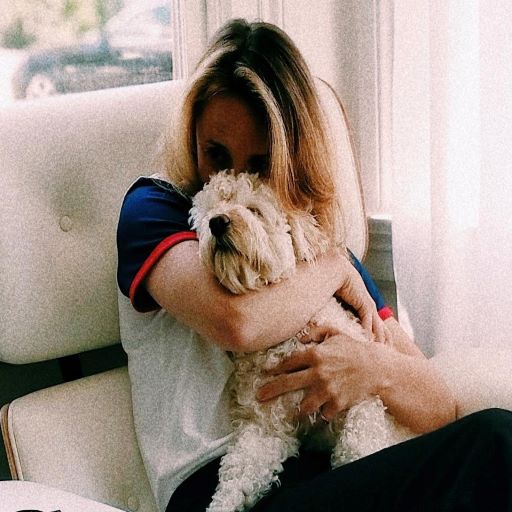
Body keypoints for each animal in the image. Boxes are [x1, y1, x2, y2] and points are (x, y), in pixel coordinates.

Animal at [189, 169, 415, 512]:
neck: (286, 337)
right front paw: (222, 504)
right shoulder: (265, 428)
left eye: (255, 210)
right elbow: (238, 473)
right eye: (208, 211)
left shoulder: (360, 395)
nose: (217, 222)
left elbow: (357, 447)